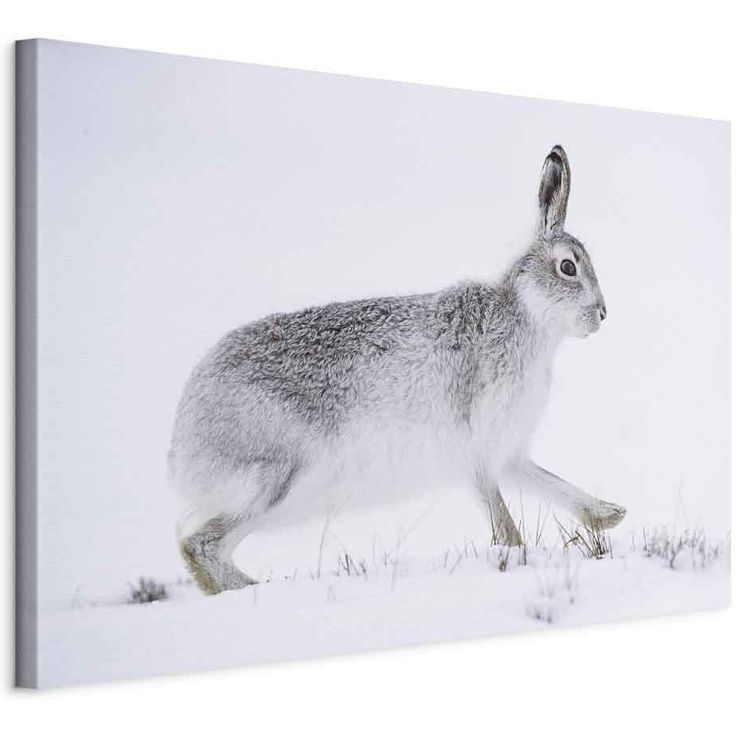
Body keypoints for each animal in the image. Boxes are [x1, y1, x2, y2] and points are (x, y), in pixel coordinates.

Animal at [169, 145, 626, 595]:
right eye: (568, 267)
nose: (602, 314)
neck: (526, 315)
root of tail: (183, 436)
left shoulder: (507, 451)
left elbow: (549, 482)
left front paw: (609, 515)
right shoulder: (477, 446)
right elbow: (502, 516)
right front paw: (517, 555)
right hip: (275, 478)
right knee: (199, 546)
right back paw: (256, 588)